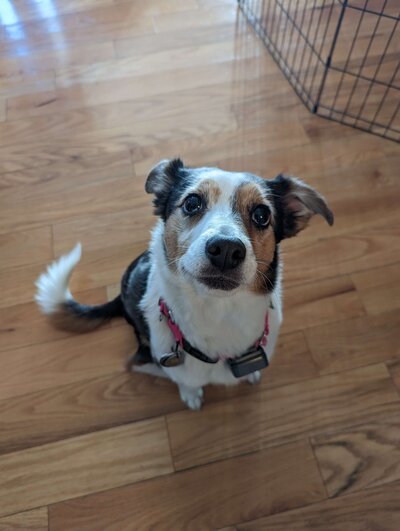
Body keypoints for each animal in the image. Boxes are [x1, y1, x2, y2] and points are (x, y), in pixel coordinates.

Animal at [36, 159, 332, 412]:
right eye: (192, 202)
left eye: (261, 214)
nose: (226, 250)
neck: (218, 314)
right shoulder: (152, 361)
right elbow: (183, 380)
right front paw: (191, 395)